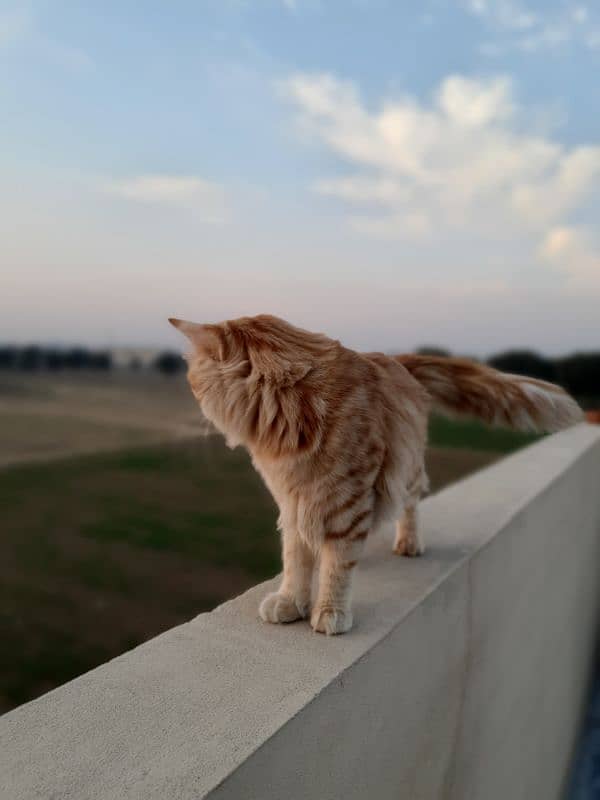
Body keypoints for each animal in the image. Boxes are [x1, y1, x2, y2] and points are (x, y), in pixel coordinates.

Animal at [171, 316, 584, 636]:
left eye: (194, 381)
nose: (190, 394)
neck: (291, 419)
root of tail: (396, 359)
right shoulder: (293, 503)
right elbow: (297, 560)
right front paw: (291, 602)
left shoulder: (350, 494)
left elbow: (338, 566)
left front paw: (330, 611)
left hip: (407, 472)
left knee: (409, 507)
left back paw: (408, 542)